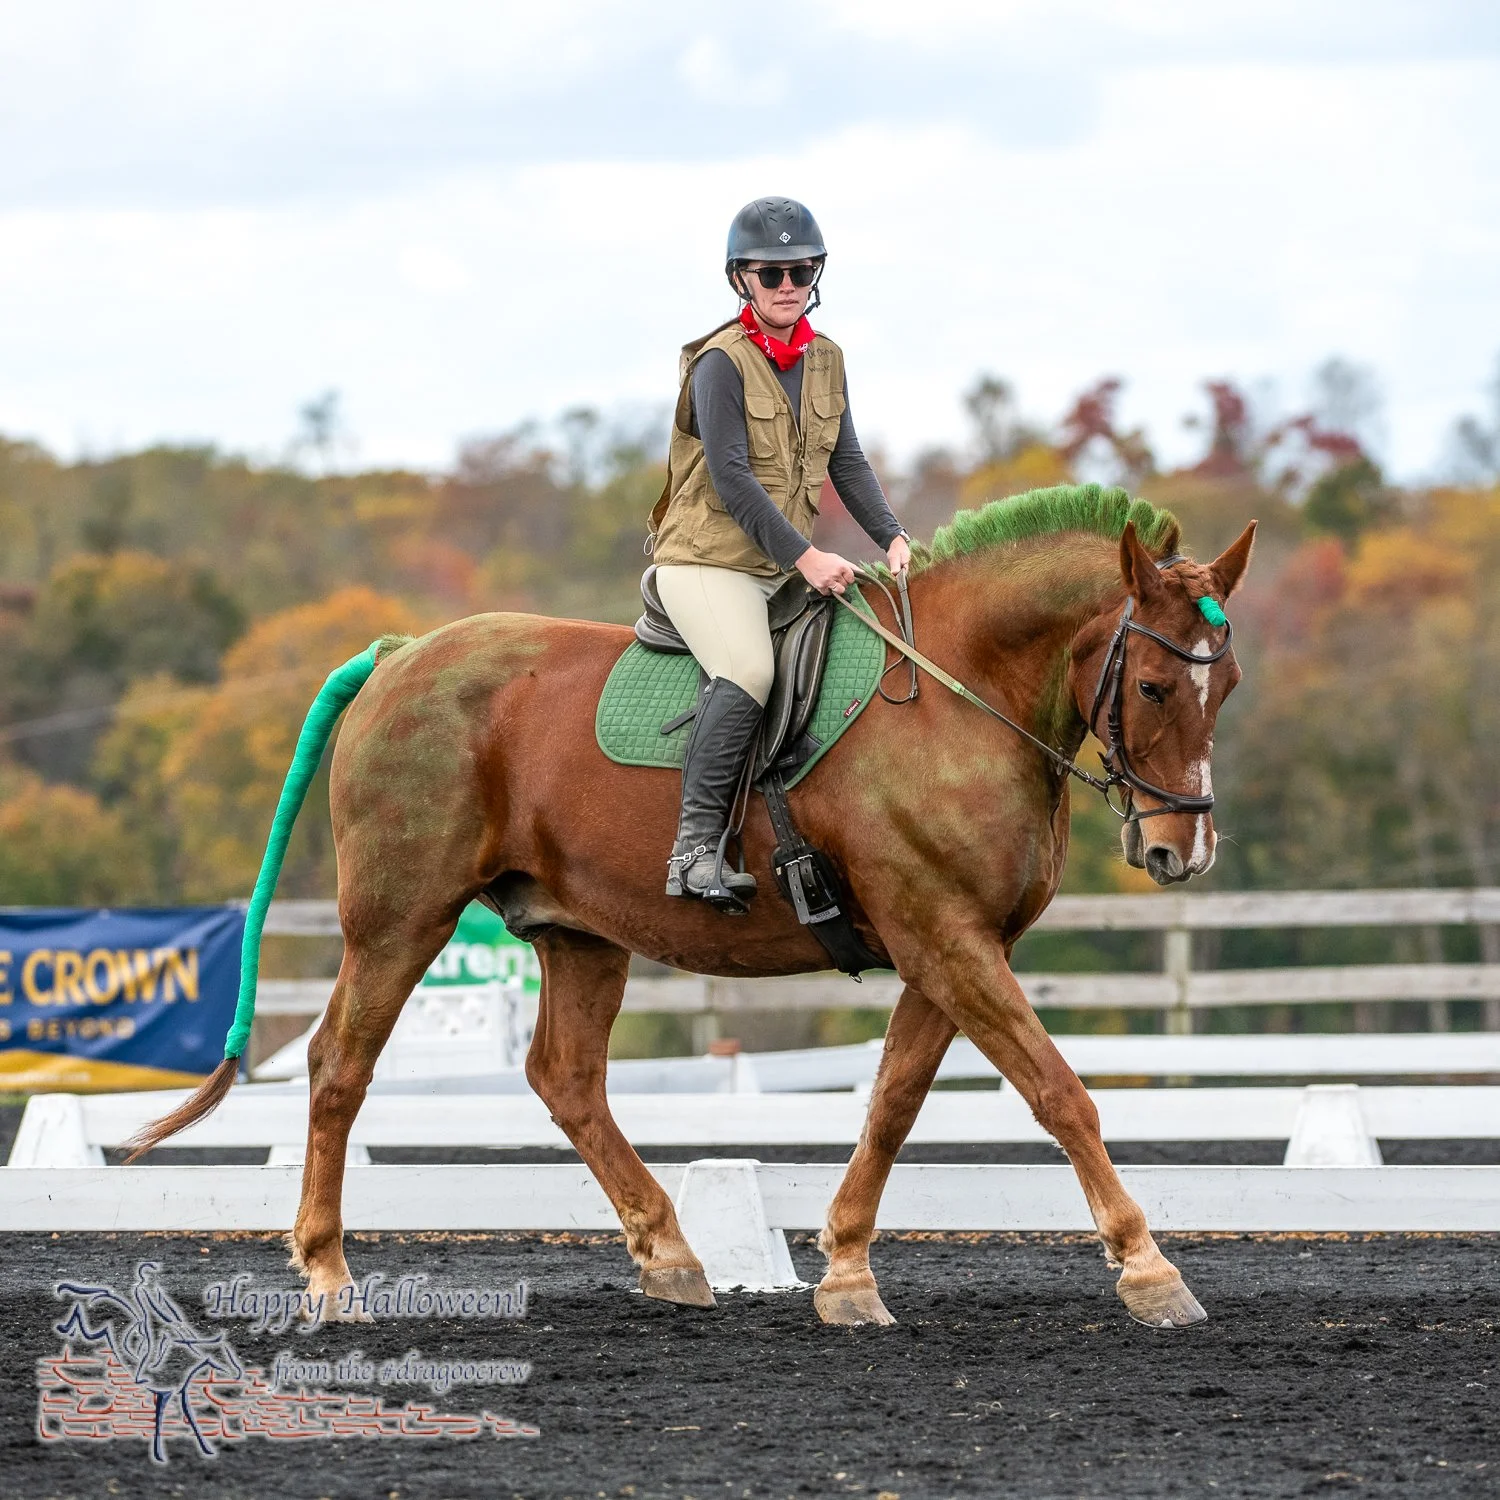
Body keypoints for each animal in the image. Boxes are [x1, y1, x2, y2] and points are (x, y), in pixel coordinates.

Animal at [129, 484, 1255, 1331]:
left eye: (1229, 684)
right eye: (1154, 686)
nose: (1181, 849)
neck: (956, 697)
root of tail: (401, 655)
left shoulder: (954, 944)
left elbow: (892, 1104)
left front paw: (847, 1272)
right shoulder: (945, 938)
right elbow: (1059, 1094)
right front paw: (1149, 1269)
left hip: (578, 931)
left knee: (566, 1080)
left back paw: (669, 1251)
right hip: (400, 919)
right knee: (340, 1068)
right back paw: (328, 1275)